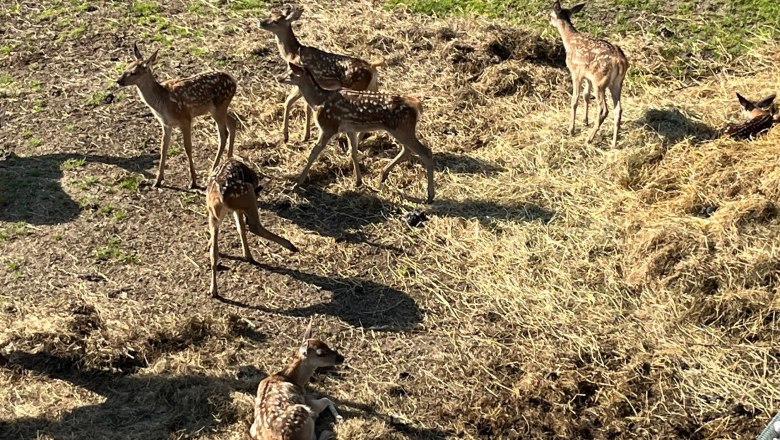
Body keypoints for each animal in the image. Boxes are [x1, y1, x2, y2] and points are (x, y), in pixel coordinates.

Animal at [116, 42, 238, 189]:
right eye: (126, 67)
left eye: (133, 72)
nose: (118, 81)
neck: (162, 102)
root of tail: (234, 81)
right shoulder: (166, 123)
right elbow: (163, 148)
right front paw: (157, 181)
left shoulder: (185, 118)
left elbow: (188, 148)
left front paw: (193, 181)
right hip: (216, 109)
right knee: (233, 121)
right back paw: (229, 159)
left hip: (219, 106)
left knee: (223, 133)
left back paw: (212, 170)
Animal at [206, 158, 298, 298]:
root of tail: (220, 198)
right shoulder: (241, 206)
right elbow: (242, 227)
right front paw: (247, 256)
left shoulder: (236, 209)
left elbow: (240, 228)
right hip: (247, 195)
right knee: (255, 226)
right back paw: (291, 246)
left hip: (213, 215)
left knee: (214, 251)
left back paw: (213, 290)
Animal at [258, 5, 383, 142]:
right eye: (271, 14)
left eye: (276, 21)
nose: (260, 22)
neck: (292, 54)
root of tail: (372, 67)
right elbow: (305, 106)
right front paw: (305, 135)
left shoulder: (301, 80)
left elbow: (290, 102)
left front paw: (288, 136)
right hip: (372, 87)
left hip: (356, 86)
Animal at [277, 62, 436, 203]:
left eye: (290, 72)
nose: (278, 77)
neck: (318, 101)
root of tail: (417, 106)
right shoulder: (350, 129)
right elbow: (353, 152)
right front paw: (358, 181)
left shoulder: (329, 126)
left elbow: (313, 153)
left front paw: (297, 183)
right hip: (399, 129)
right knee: (407, 150)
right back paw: (382, 175)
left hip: (402, 129)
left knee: (425, 152)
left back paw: (430, 196)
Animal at [549, 1, 629, 148]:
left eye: (551, 15)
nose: (549, 21)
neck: (569, 41)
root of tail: (620, 61)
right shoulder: (588, 76)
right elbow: (586, 95)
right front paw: (585, 121)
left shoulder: (576, 71)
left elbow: (575, 99)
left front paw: (571, 130)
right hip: (616, 83)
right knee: (618, 109)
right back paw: (613, 143)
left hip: (600, 81)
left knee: (604, 109)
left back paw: (589, 139)